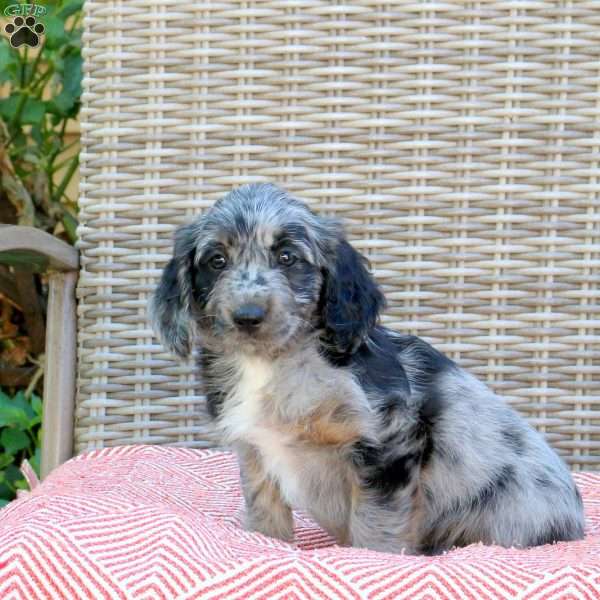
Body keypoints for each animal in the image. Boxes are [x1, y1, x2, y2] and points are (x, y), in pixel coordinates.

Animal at [151, 182, 584, 552]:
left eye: (288, 257)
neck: (274, 362)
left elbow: (377, 526)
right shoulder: (256, 453)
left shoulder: (386, 445)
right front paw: (264, 543)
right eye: (216, 261)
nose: (247, 316)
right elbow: (265, 511)